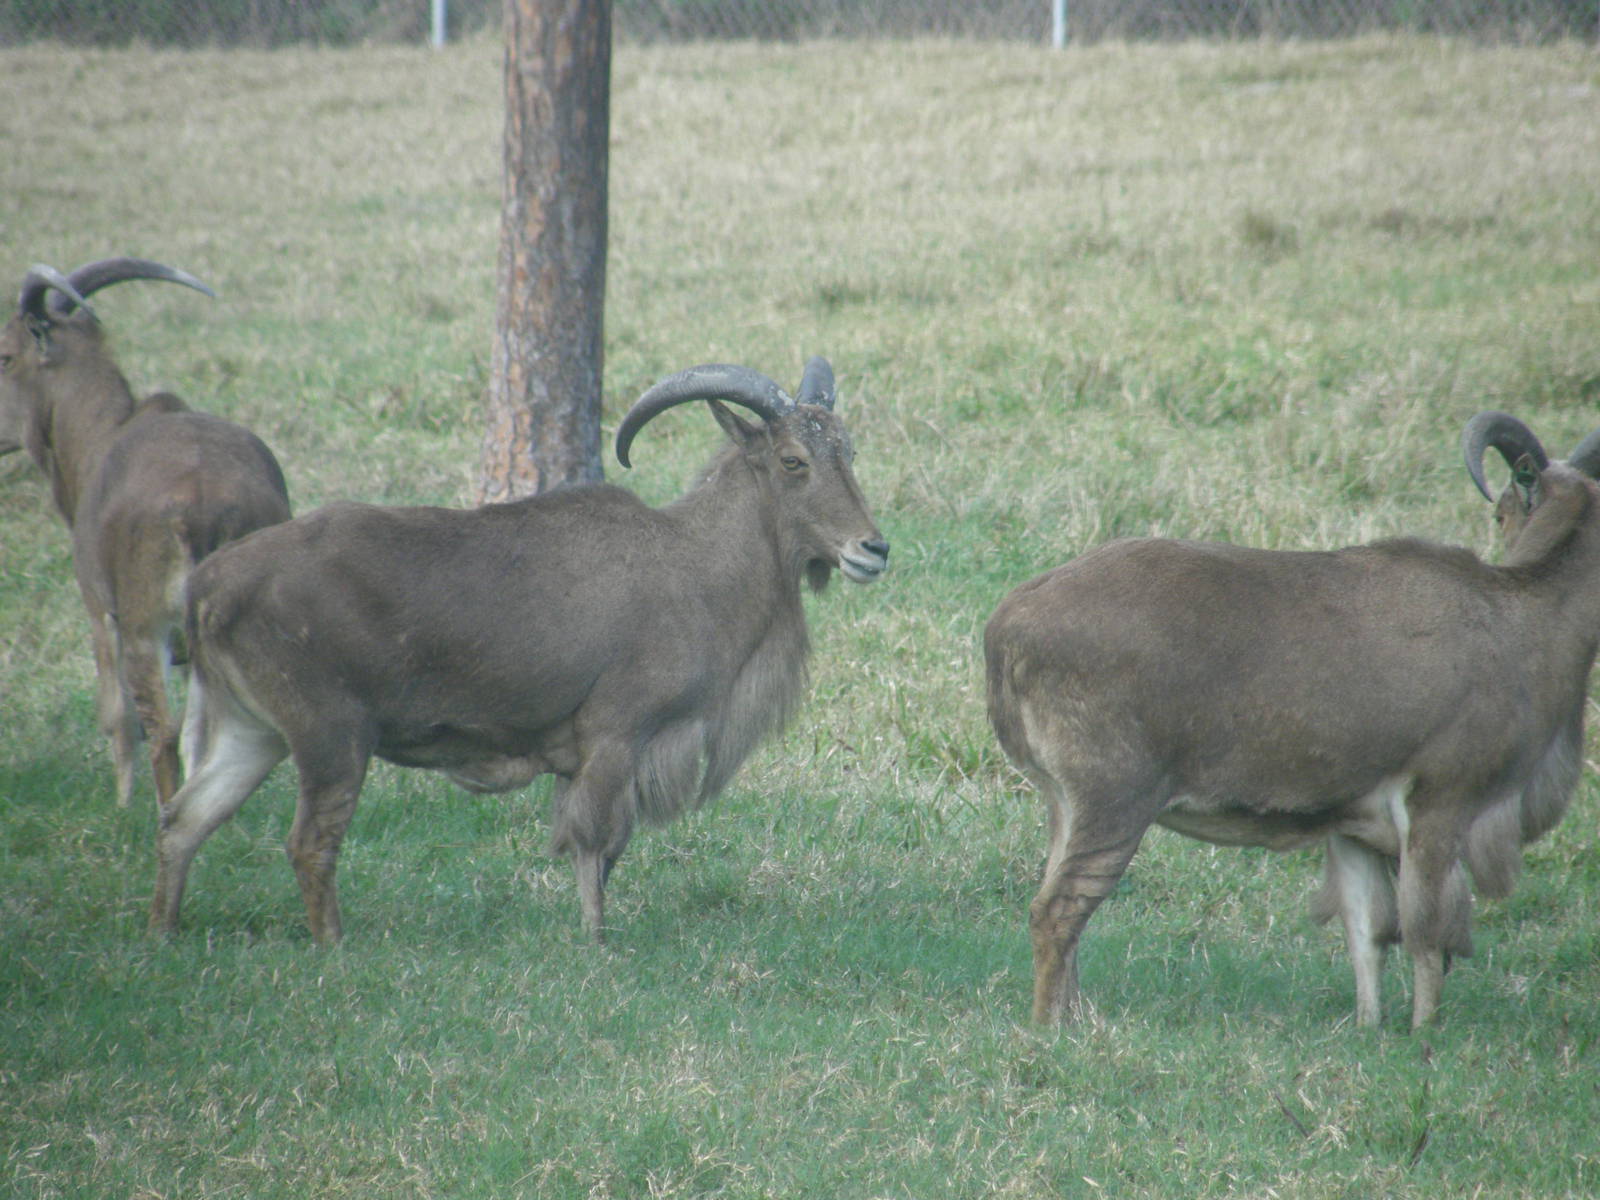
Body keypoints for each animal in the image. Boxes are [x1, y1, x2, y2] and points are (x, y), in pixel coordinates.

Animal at [0, 258, 291, 806]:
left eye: (4, 356)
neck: (102, 436)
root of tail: (201, 509)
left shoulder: (100, 609)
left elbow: (118, 716)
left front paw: (120, 803)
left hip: (144, 627)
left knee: (163, 730)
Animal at [148, 357, 889, 943]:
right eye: (793, 461)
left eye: (849, 453)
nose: (873, 549)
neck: (694, 564)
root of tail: (210, 586)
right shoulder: (615, 736)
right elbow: (596, 844)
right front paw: (595, 940)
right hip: (330, 736)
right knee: (309, 844)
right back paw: (333, 946)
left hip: (254, 732)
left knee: (185, 820)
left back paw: (165, 934)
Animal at [984, 412, 1599, 1029]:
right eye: (1500, 512)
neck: (1517, 616)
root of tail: (1007, 626)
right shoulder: (1440, 805)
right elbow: (1428, 934)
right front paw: (1424, 1034)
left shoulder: (1354, 827)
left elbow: (1367, 934)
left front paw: (1369, 1029)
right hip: (1114, 801)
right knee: (1056, 911)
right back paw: (1050, 1028)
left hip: (1065, 804)